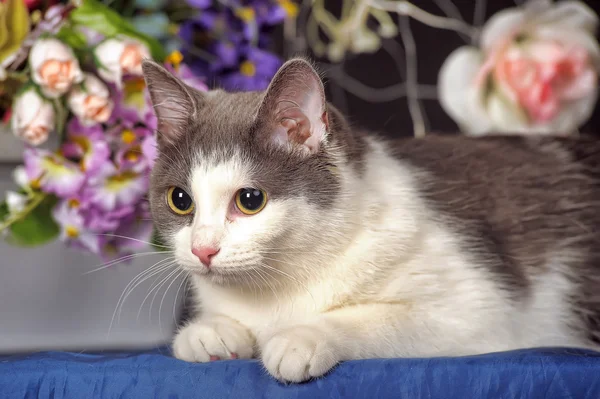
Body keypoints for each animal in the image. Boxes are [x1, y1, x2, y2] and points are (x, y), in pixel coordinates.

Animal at [142, 57, 600, 384]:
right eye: (180, 200)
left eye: (250, 200)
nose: (203, 249)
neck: (279, 284)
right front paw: (209, 331)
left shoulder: (484, 316)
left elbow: (377, 318)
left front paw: (302, 336)